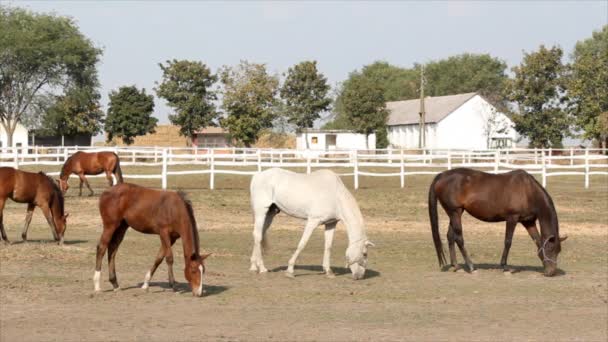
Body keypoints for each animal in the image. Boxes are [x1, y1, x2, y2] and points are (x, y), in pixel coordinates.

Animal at [430, 167, 568, 276]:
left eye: (558, 251)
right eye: (550, 249)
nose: (551, 272)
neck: (528, 191)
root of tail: (442, 175)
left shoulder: (529, 222)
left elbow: (538, 241)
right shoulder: (512, 218)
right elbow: (508, 242)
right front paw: (505, 267)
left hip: (455, 213)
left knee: (450, 236)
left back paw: (456, 266)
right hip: (455, 212)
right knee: (459, 238)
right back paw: (471, 267)